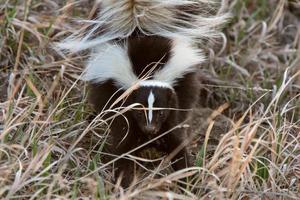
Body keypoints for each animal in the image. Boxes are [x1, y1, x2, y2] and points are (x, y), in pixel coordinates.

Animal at [57, 0, 229, 188]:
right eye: (139, 111)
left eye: (161, 112)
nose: (150, 128)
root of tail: (139, 31)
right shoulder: (121, 105)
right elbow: (124, 143)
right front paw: (123, 180)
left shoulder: (172, 106)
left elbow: (175, 139)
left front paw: (186, 176)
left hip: (186, 84)